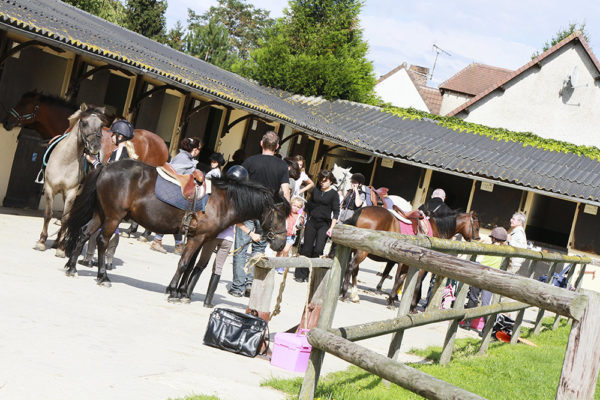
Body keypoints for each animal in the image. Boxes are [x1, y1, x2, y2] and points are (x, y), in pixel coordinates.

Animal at [62, 159, 290, 300]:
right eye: (280, 215)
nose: (281, 243)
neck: (223, 201)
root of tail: (107, 166)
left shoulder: (201, 238)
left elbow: (191, 267)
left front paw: (181, 292)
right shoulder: (197, 238)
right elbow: (183, 264)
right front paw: (173, 291)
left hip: (101, 214)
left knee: (84, 234)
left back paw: (72, 268)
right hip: (113, 217)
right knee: (102, 241)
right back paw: (103, 276)